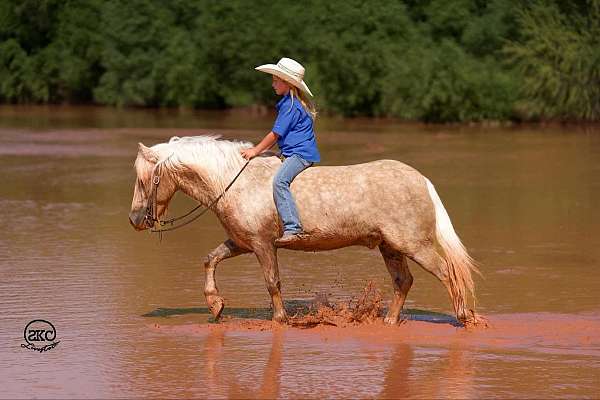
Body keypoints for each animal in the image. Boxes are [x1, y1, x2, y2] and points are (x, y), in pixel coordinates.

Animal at [129, 137, 480, 324]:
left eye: (145, 180)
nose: (134, 219)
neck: (233, 183)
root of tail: (421, 179)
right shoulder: (242, 242)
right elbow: (210, 259)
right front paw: (215, 305)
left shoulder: (262, 245)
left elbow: (272, 282)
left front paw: (280, 320)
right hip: (390, 247)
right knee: (403, 282)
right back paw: (390, 321)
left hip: (414, 245)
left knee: (448, 273)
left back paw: (465, 317)